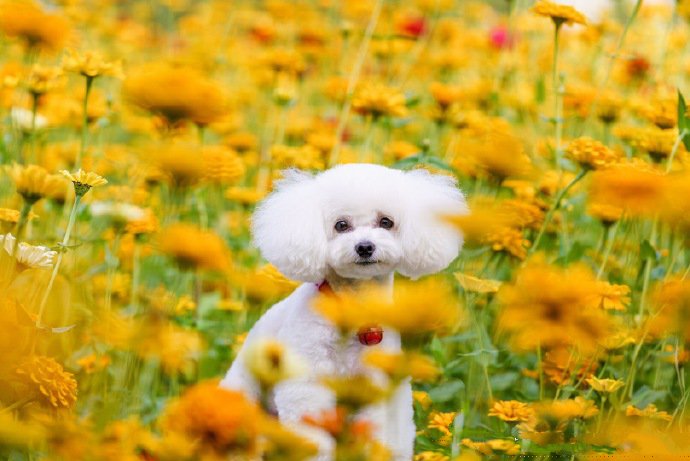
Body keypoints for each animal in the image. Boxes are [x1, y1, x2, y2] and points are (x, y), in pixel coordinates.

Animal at [220, 164, 468, 458]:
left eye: (386, 222)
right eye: (341, 225)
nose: (365, 247)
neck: (351, 310)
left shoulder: (369, 388)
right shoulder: (307, 386)